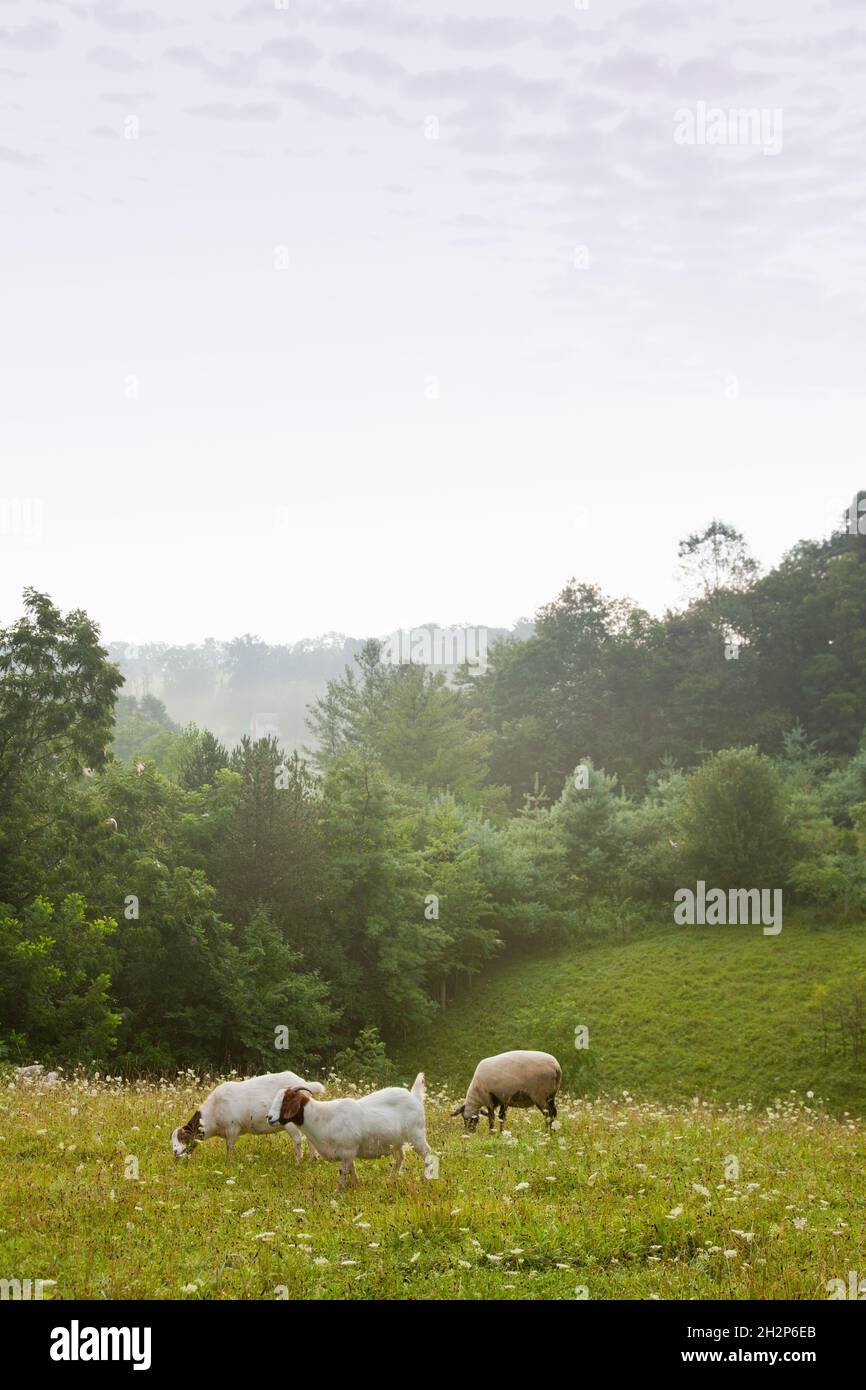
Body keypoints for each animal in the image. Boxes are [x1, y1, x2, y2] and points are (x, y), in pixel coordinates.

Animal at [169, 1073, 325, 1162]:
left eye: (183, 1137)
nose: (175, 1152)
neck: (213, 1111)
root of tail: (304, 1083)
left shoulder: (232, 1128)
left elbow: (229, 1147)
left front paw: (228, 1164)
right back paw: (312, 1159)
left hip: (290, 1122)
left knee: (298, 1140)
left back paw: (298, 1161)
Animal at [268, 1067, 436, 1189]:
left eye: (287, 1100)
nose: (269, 1117)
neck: (322, 1117)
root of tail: (414, 1097)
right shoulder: (348, 1152)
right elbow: (351, 1169)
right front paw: (356, 1185)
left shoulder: (348, 1149)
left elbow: (343, 1171)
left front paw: (338, 1191)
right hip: (395, 1142)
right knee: (400, 1158)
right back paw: (390, 1179)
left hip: (416, 1135)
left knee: (427, 1154)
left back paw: (426, 1178)